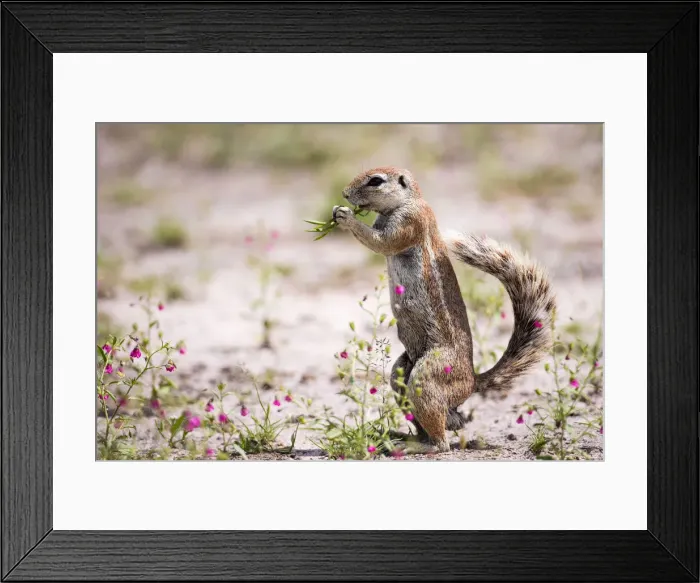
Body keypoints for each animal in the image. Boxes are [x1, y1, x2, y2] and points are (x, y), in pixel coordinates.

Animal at [333, 166, 556, 452]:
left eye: (376, 180)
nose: (344, 194)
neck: (409, 201)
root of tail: (472, 381)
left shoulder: (409, 223)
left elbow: (381, 242)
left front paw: (344, 215)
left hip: (428, 377)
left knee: (442, 443)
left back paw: (418, 446)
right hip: (402, 372)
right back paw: (404, 436)